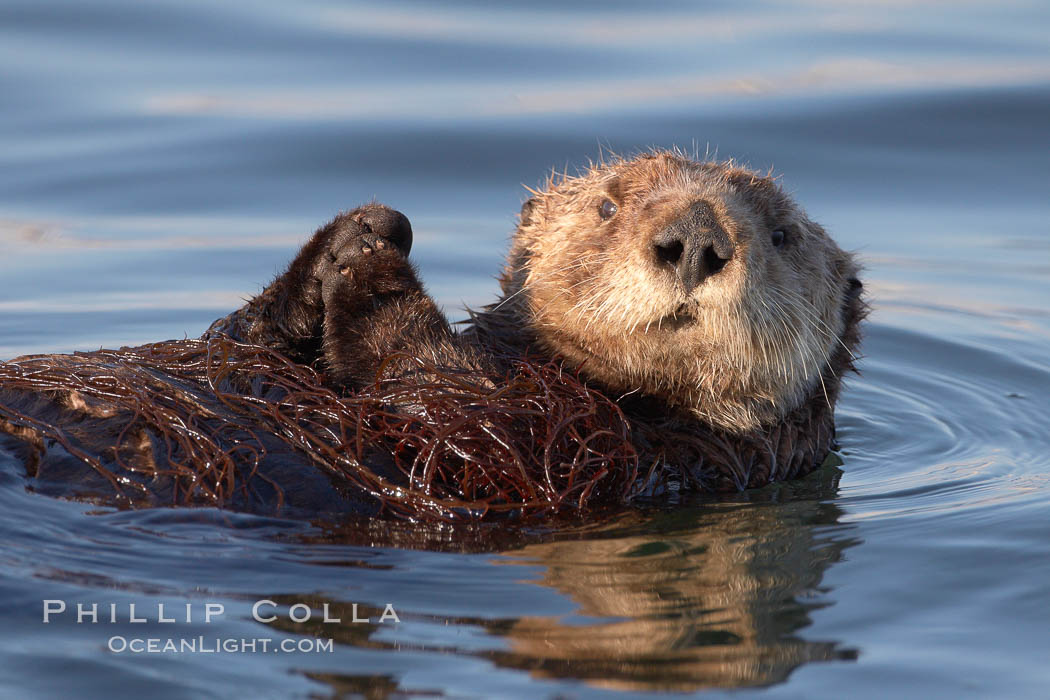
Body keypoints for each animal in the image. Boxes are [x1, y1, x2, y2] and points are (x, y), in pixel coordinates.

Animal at [0, 152, 860, 514]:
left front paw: (378, 279)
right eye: (610, 204)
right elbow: (239, 342)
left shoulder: (598, 457)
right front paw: (355, 239)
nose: (694, 239)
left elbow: (444, 415)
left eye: (781, 235)